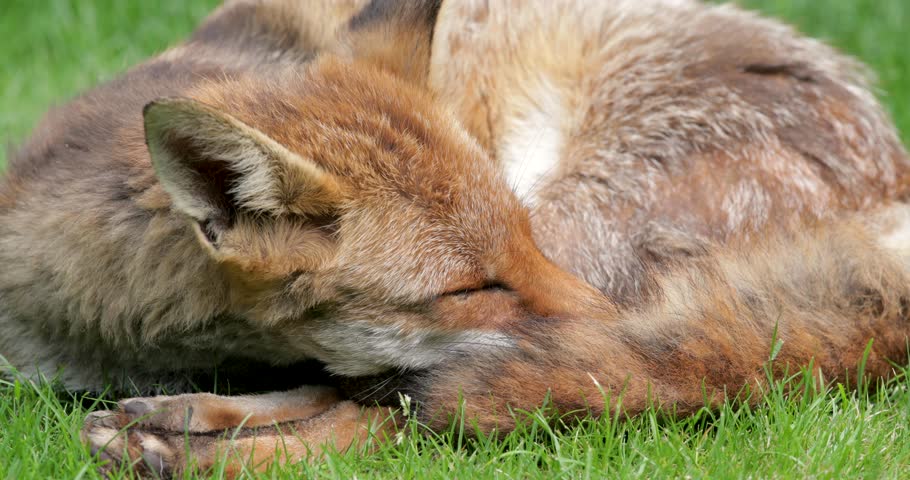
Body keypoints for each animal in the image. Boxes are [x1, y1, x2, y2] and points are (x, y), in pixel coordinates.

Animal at [1, 0, 909, 476]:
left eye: (523, 243)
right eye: (473, 285)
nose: (612, 315)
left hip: (587, 223)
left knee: (423, 408)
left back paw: (182, 448)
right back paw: (180, 421)